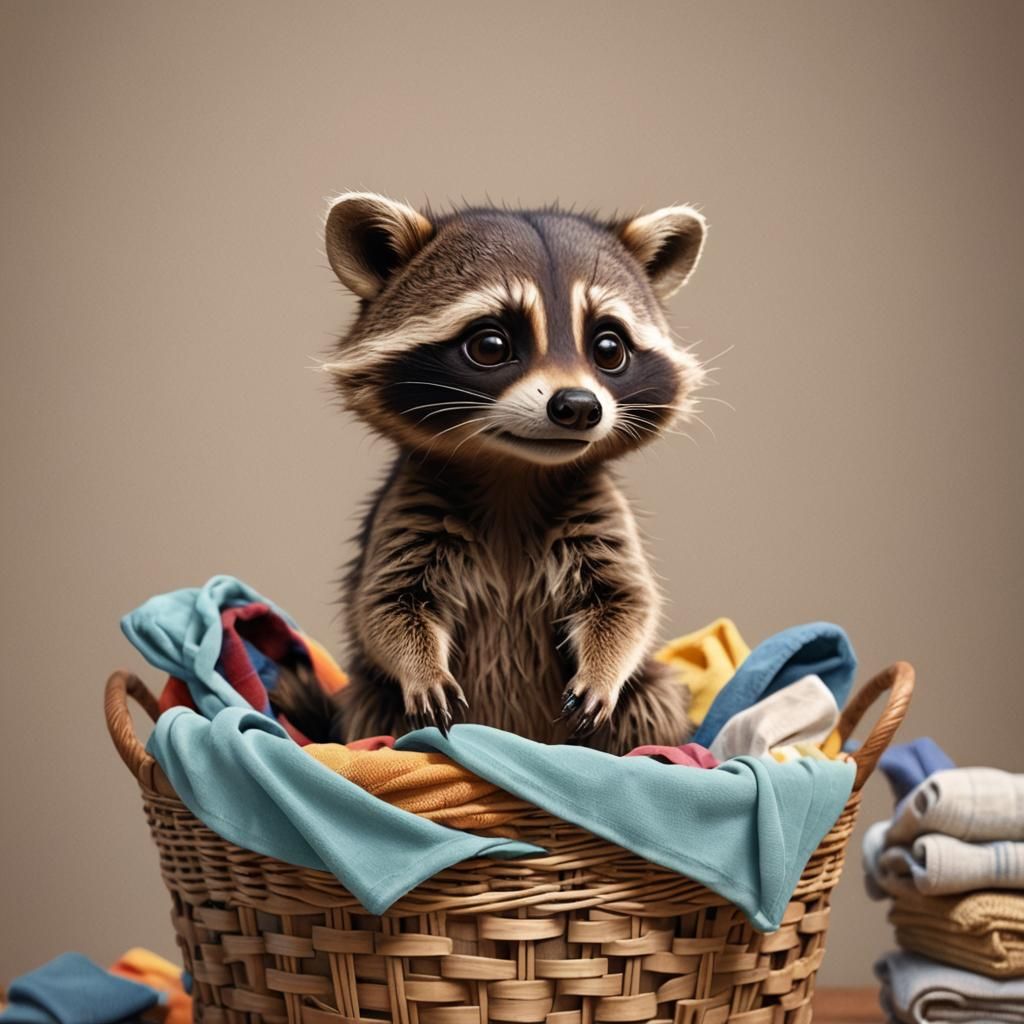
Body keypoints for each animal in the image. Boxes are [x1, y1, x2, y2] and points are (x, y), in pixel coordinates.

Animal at [274, 193, 708, 755]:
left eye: (609, 349)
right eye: (490, 345)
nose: (578, 406)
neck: (513, 474)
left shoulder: (601, 515)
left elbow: (626, 604)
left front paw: (604, 670)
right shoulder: (407, 512)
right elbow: (388, 607)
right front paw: (420, 669)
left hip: (649, 694)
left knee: (653, 699)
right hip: (372, 699)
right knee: (374, 705)